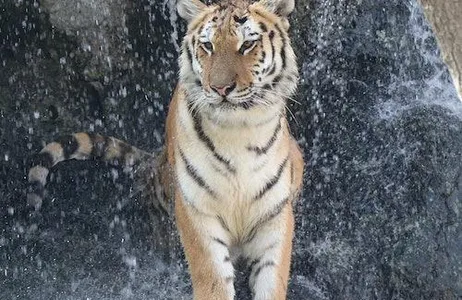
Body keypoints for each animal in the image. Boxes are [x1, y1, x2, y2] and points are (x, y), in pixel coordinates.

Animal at [28, 1, 304, 298]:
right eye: (208, 46)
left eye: (247, 44)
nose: (220, 88)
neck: (238, 131)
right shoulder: (196, 211)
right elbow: (213, 277)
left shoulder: (274, 215)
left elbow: (271, 279)